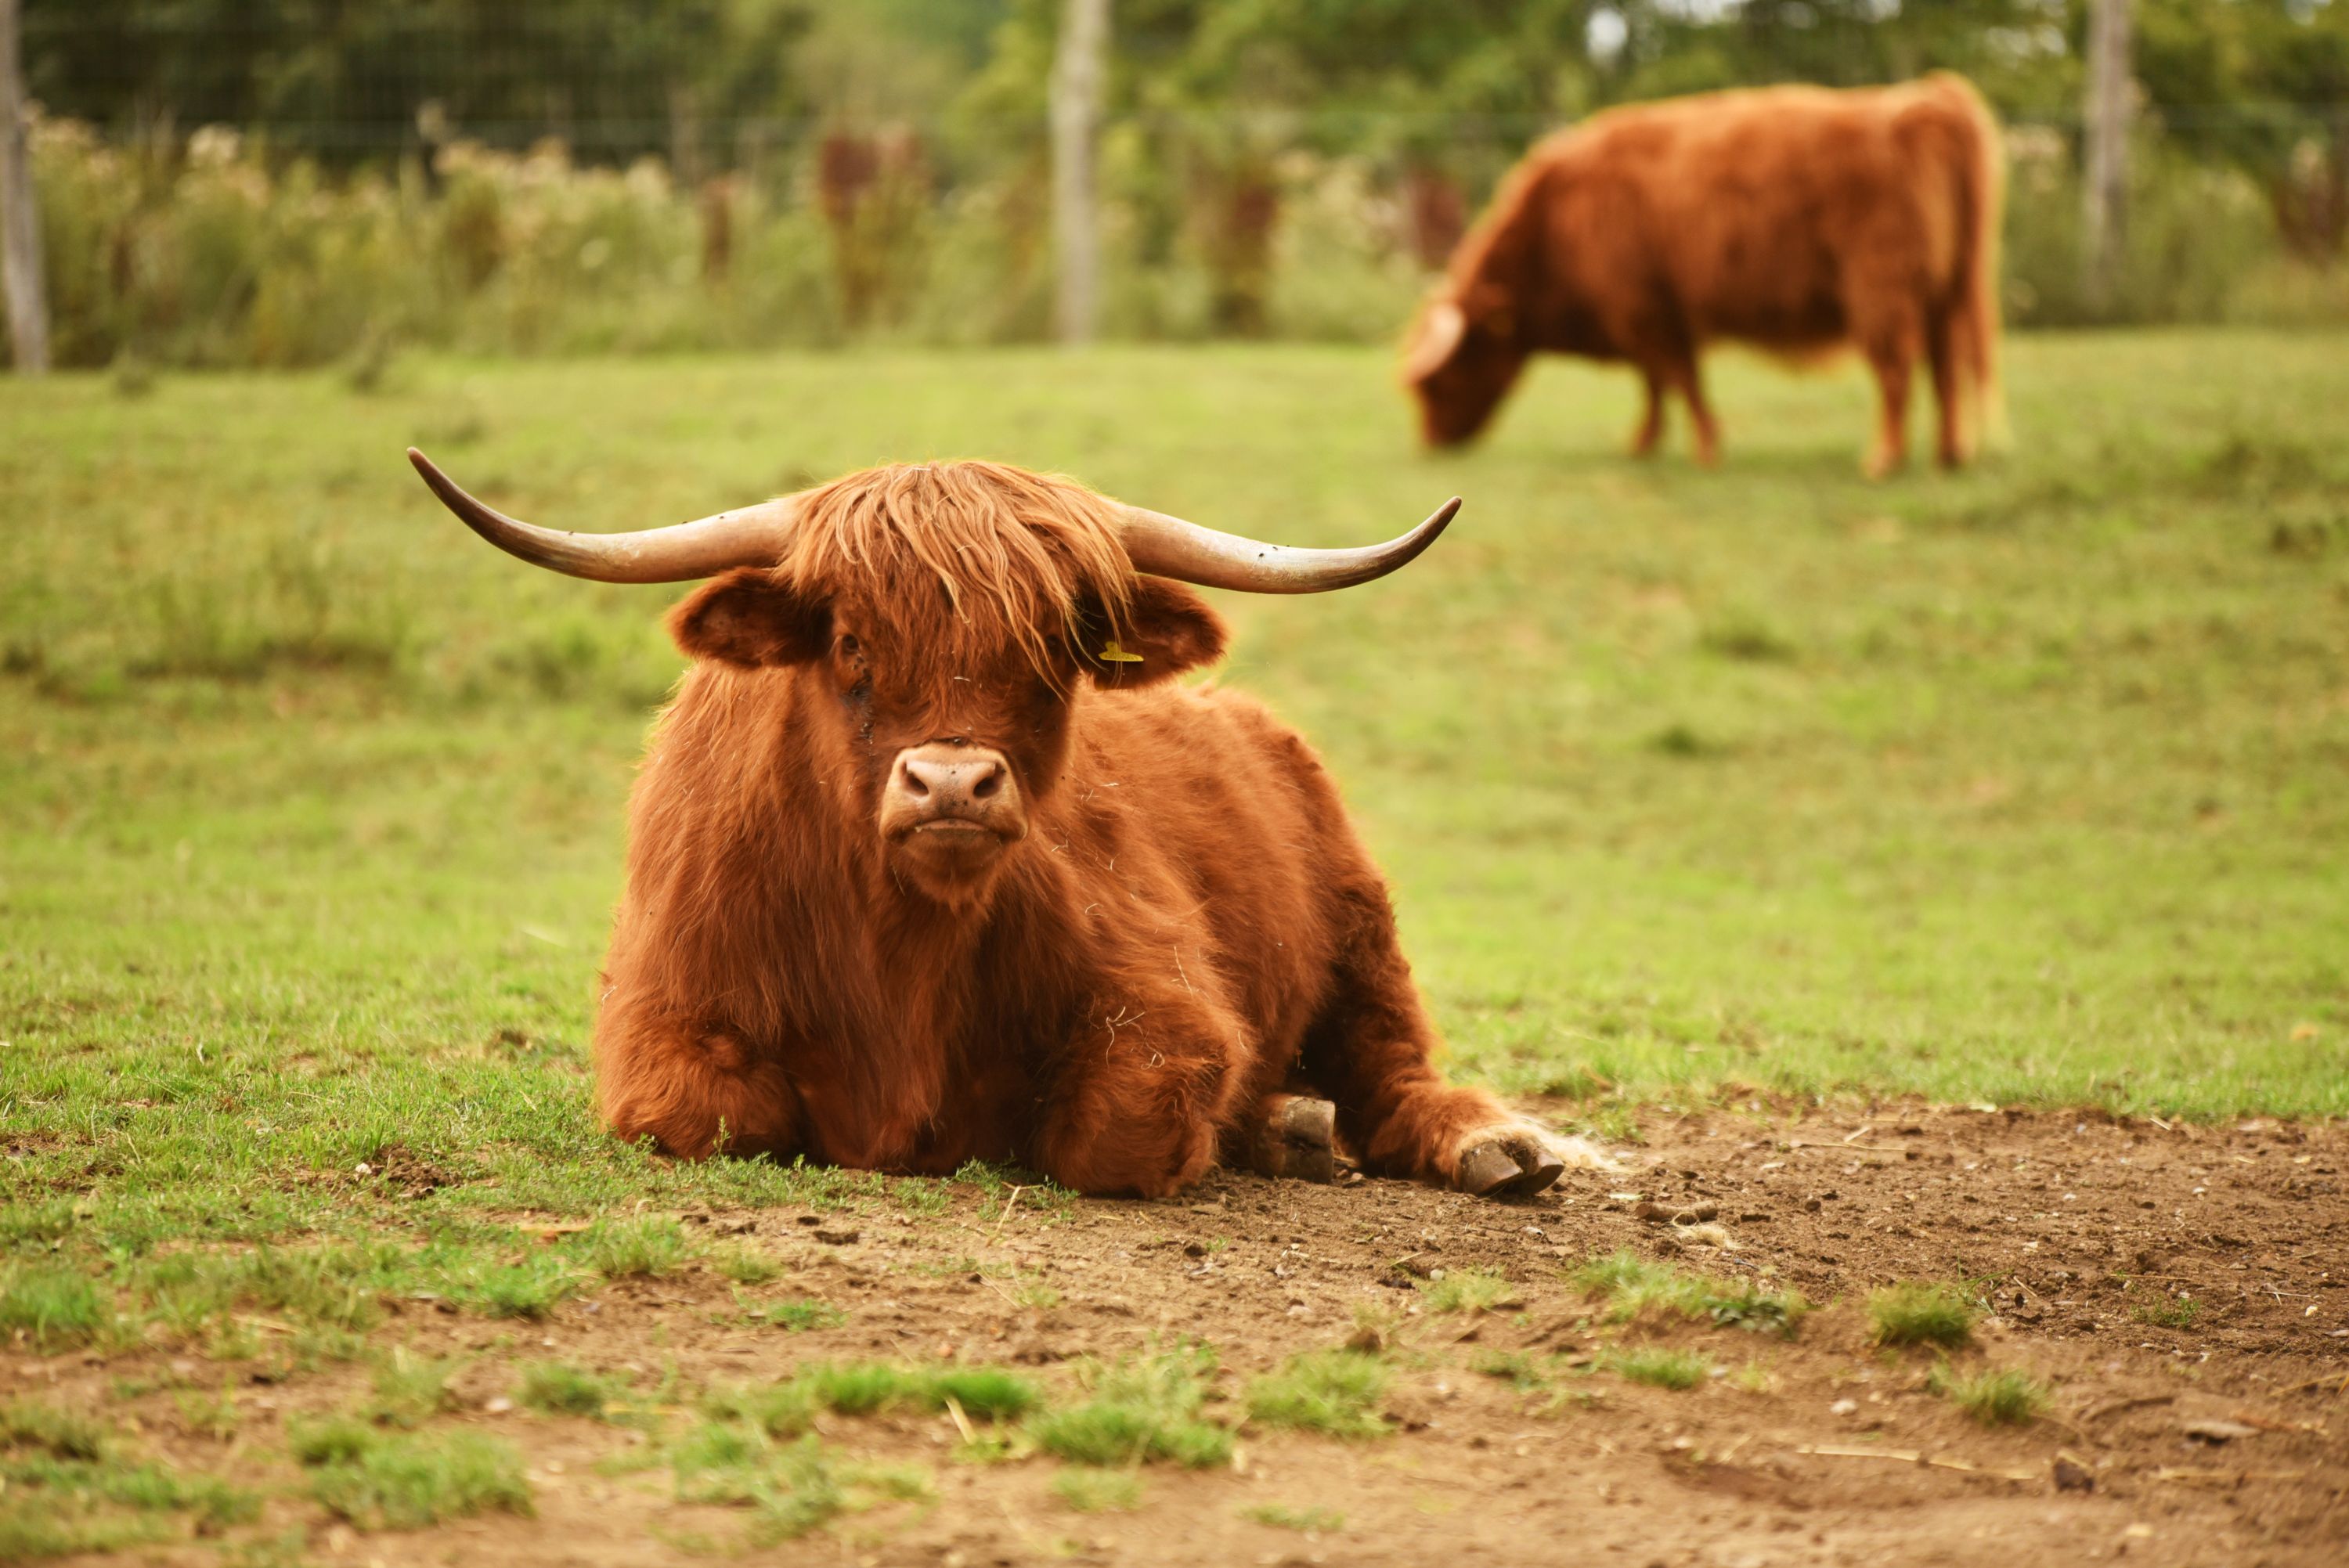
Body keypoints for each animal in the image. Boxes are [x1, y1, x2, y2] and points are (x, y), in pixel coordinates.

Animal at [408, 449, 1602, 1200]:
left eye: (1053, 647)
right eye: (849, 639)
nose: (950, 783)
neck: (902, 952)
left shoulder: (1166, 1000)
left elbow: (1119, 1125)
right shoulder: (660, 1015)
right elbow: (714, 1115)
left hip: (1362, 928)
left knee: (1393, 1072)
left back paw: (1481, 1144)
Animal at [1403, 73, 2006, 475]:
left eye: (1438, 381)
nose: (1430, 443)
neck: (1557, 224)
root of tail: (1926, 101)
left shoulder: (1647, 310)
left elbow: (1679, 380)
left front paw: (1705, 450)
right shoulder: (1655, 316)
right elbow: (1656, 385)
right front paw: (1644, 445)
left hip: (1882, 287)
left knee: (1898, 370)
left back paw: (1884, 459)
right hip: (1943, 292)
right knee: (1944, 367)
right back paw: (1950, 456)